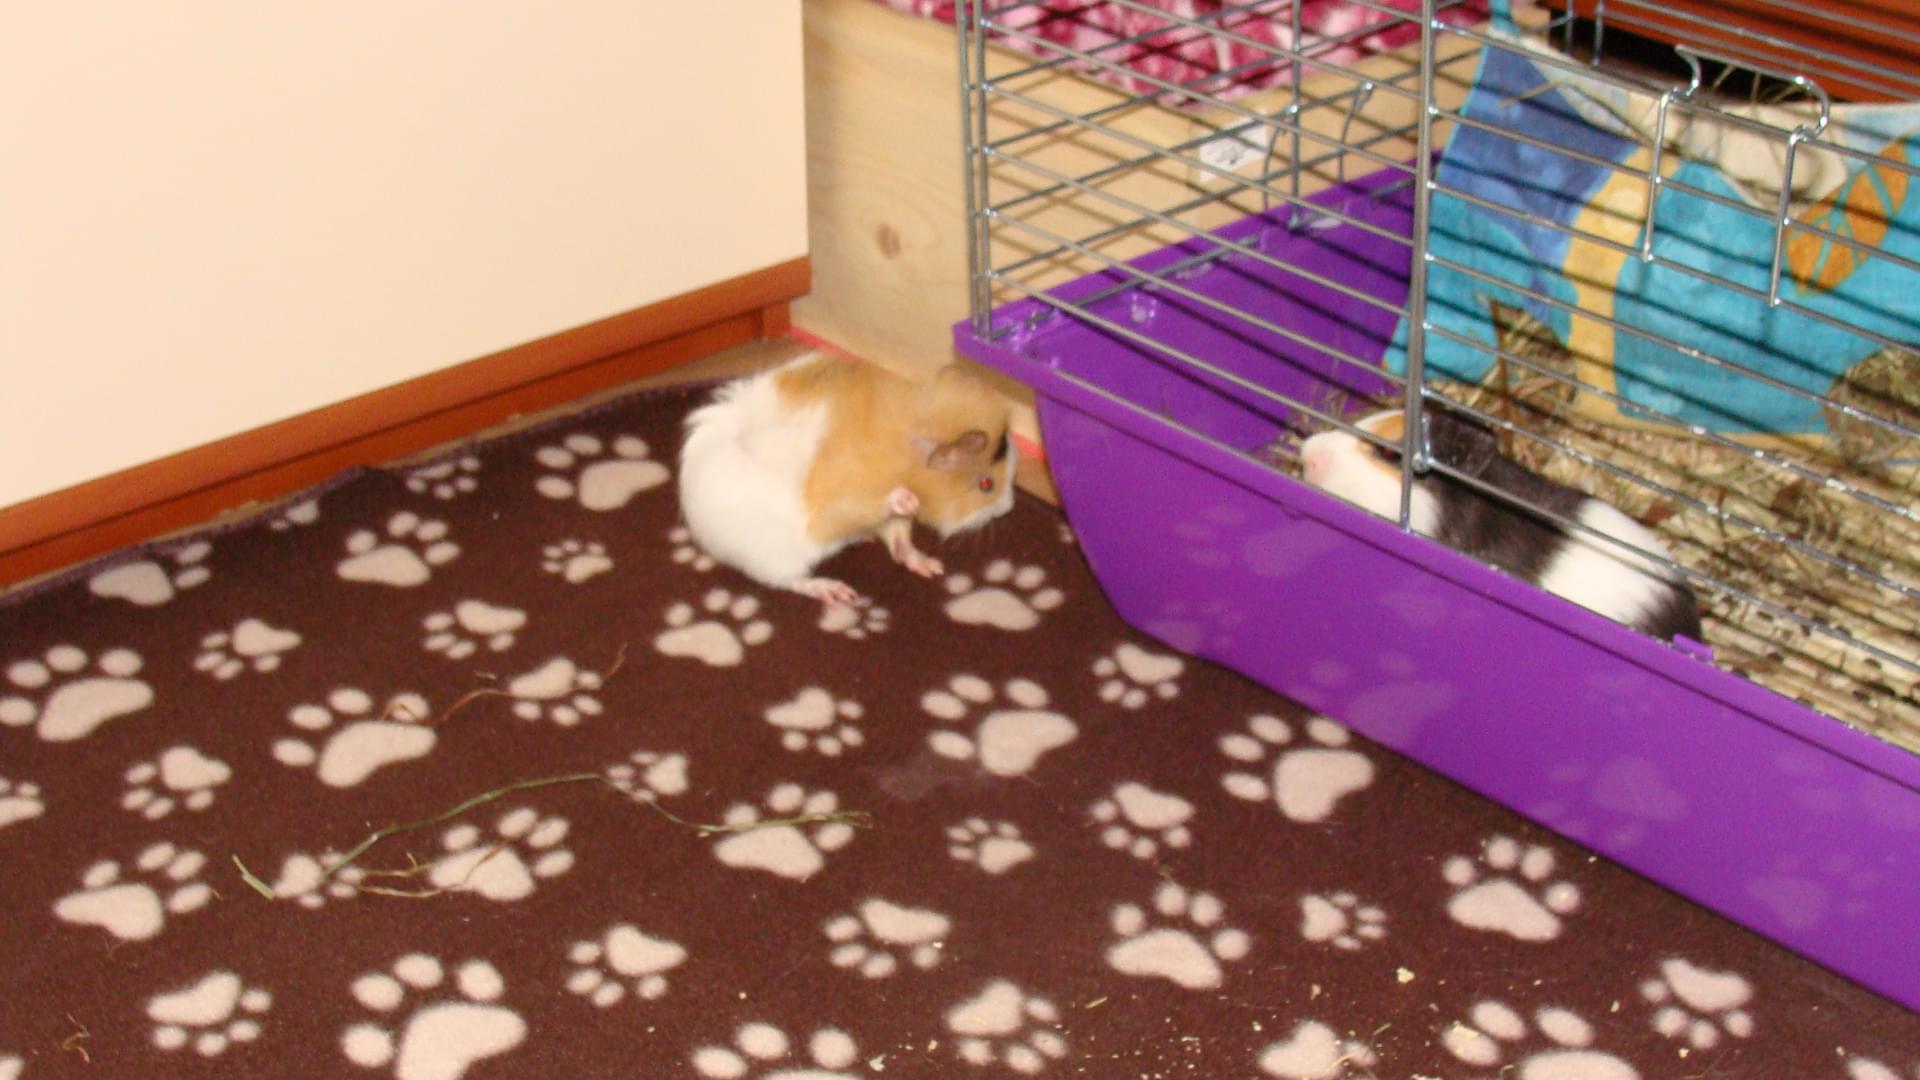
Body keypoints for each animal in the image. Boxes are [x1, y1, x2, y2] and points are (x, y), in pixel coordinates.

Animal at [676, 350, 1018, 607]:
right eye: (986, 484)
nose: (1008, 509)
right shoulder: (839, 510)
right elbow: (879, 509)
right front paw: (905, 500)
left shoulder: (889, 523)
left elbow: (900, 540)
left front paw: (932, 568)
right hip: (776, 558)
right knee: (792, 580)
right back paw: (838, 592)